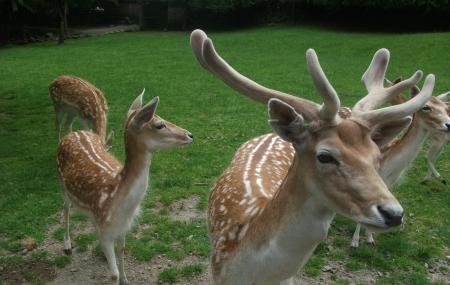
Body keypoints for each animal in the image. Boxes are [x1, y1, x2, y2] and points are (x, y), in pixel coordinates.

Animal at [56, 91, 193, 284]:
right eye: (159, 124)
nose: (190, 135)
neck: (117, 201)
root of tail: (72, 133)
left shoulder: (122, 227)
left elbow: (122, 252)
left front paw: (126, 280)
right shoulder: (106, 232)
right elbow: (113, 274)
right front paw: (116, 276)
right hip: (62, 183)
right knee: (66, 208)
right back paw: (67, 245)